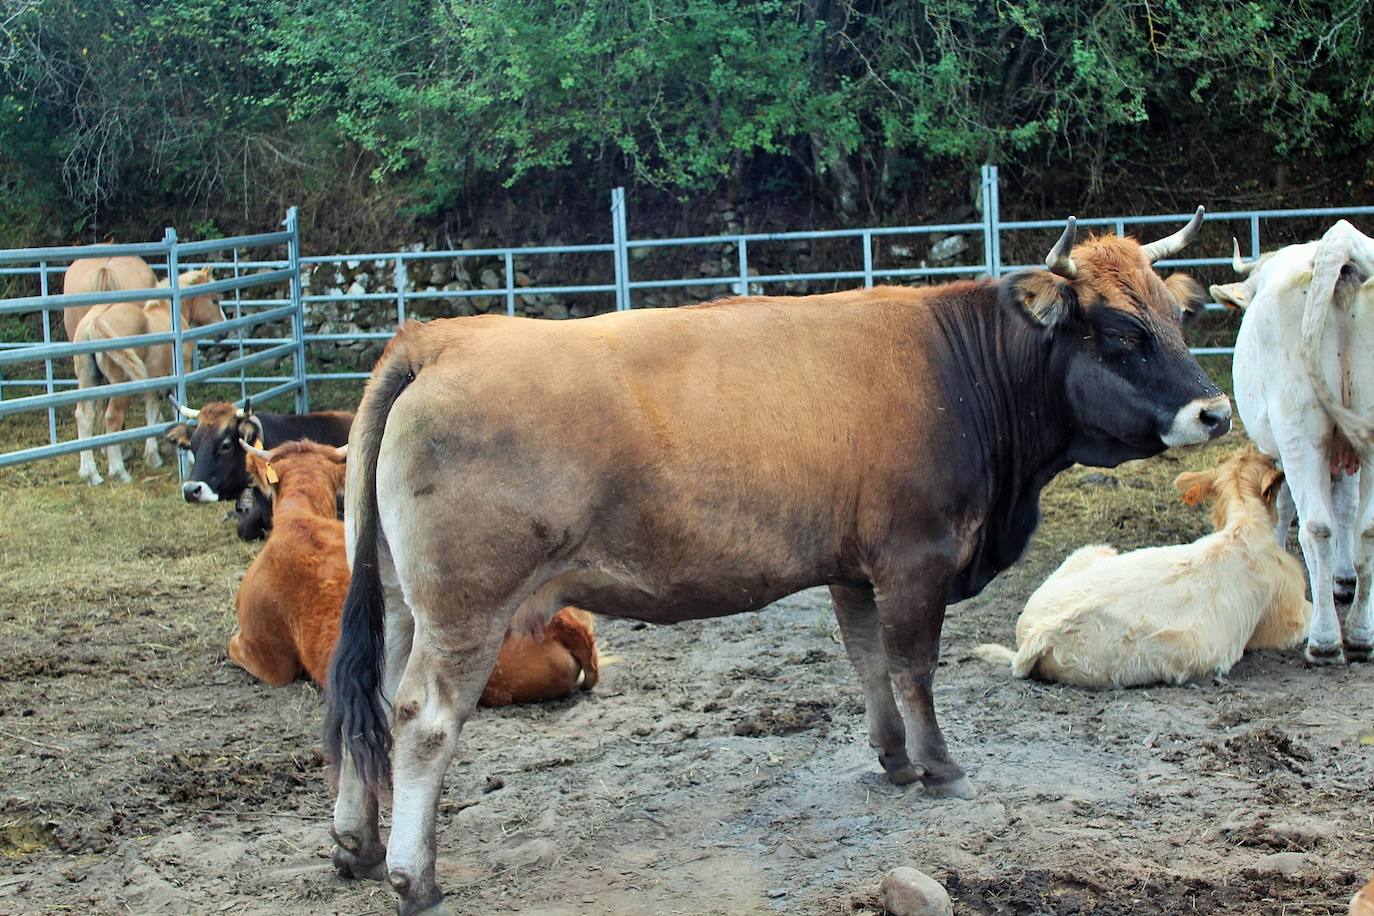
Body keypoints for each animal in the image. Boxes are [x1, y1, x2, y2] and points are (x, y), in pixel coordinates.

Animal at [327, 212, 1231, 911]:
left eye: (1176, 318)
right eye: (1121, 331)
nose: (1214, 411)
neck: (959, 370)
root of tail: (438, 338)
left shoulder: (851, 568)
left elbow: (870, 665)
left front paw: (894, 759)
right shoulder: (916, 558)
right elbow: (914, 667)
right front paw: (941, 767)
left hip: (401, 599)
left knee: (368, 703)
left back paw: (355, 842)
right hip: (466, 609)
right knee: (422, 719)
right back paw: (413, 876)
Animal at [1214, 222, 1374, 667]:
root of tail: (1339, 249)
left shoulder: (1280, 450)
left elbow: (1285, 504)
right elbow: (1346, 508)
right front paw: (1343, 579)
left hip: (1300, 432)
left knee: (1316, 527)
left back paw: (1324, 641)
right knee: (1368, 529)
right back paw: (1361, 633)